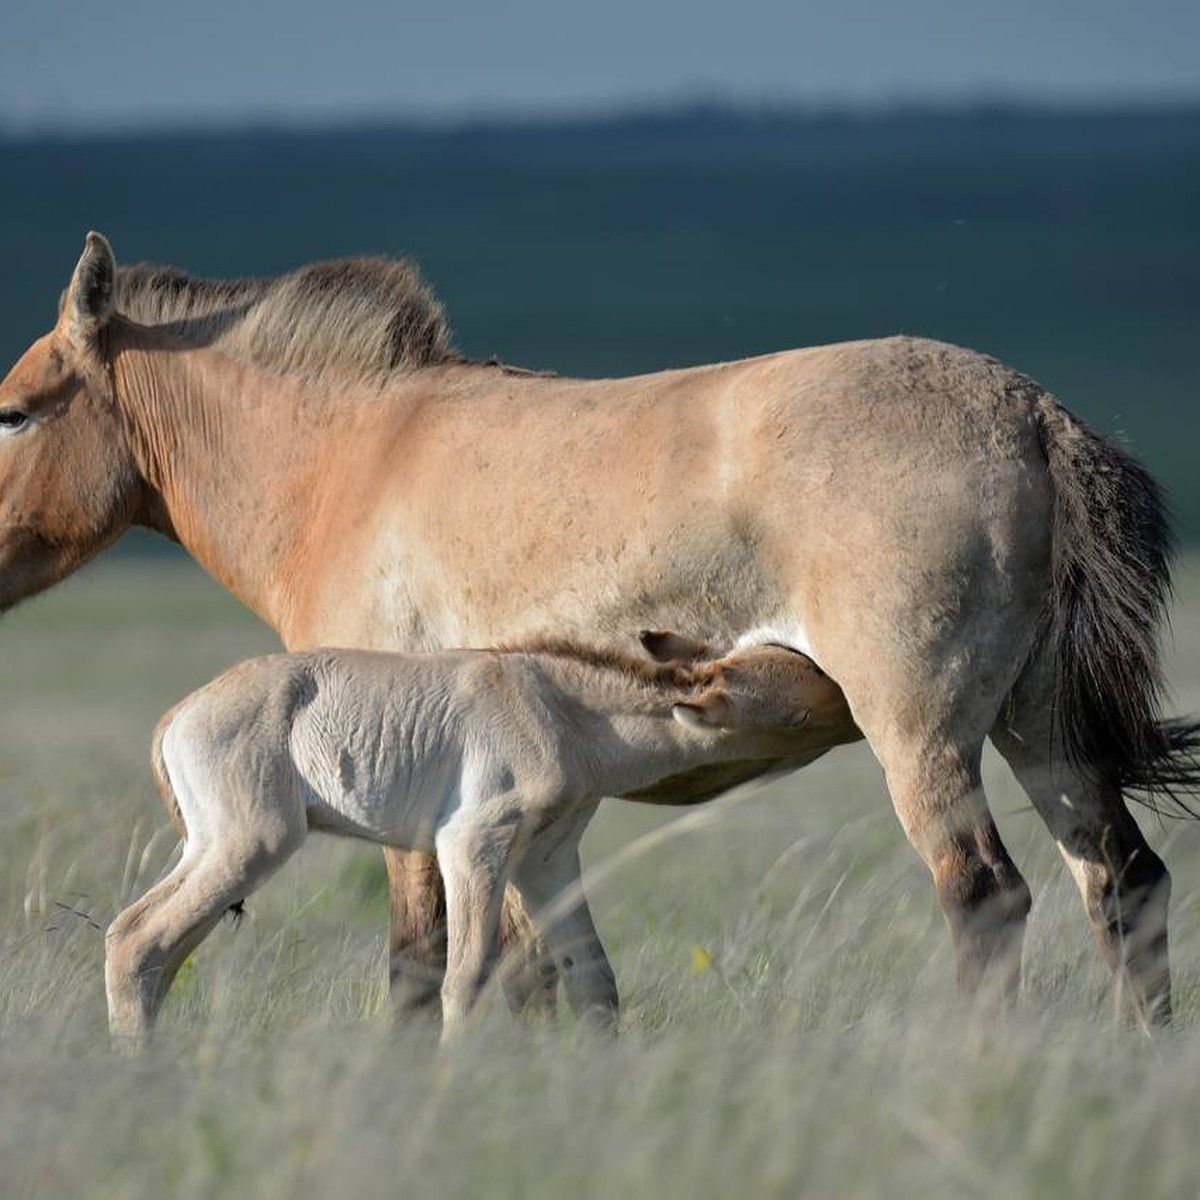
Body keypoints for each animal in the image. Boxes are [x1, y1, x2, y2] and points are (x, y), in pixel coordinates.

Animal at [103, 638, 854, 1041]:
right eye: (804, 691)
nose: (857, 696)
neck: (563, 709)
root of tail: (179, 715)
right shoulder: (473, 845)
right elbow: (465, 976)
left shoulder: (547, 860)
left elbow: (595, 979)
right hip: (250, 845)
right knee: (137, 937)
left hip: (213, 850)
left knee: (155, 947)